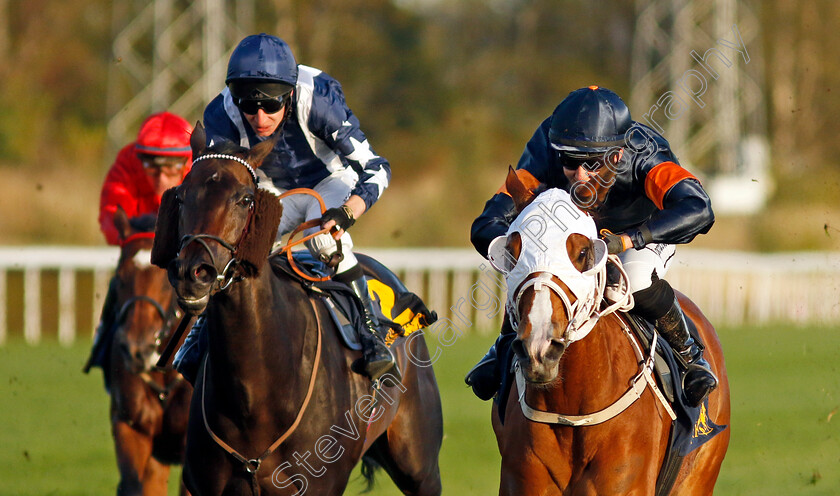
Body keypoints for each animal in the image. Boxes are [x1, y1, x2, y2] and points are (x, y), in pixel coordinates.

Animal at [150, 124, 442, 496]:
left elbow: (371, 167)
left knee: (325, 240)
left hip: (418, 463)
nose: (192, 272)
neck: (254, 397)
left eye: (245, 199)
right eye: (182, 197)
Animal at [488, 171, 732, 496]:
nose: (539, 348)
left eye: (583, 252)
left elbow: (695, 202)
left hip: (700, 474)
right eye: (511, 253)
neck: (572, 413)